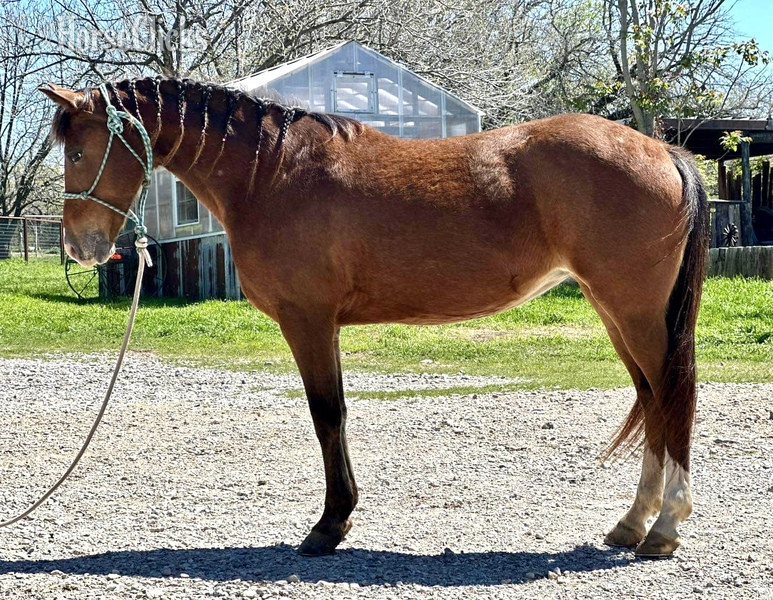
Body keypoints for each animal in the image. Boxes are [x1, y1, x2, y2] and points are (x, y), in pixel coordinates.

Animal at [40, 77, 708, 558]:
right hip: (614, 311)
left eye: (79, 150)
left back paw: (664, 529)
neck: (271, 174)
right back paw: (632, 523)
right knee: (651, 399)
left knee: (672, 394)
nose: (79, 246)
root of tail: (661, 149)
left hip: (634, 311)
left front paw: (328, 525)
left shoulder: (307, 320)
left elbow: (326, 416)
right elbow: (334, 414)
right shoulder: (324, 325)